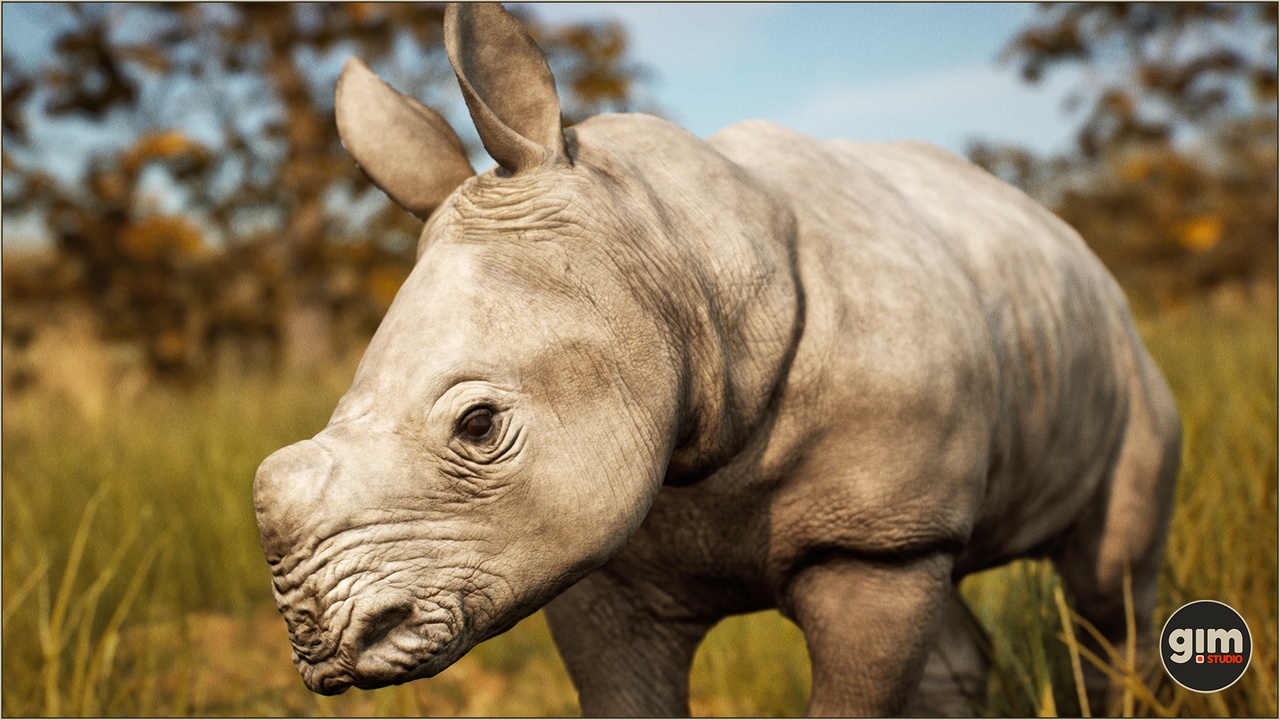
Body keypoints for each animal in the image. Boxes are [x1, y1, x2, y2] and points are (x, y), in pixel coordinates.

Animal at [252, 4, 1182, 716]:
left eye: (479, 427)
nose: (324, 645)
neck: (672, 251)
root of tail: (1061, 233)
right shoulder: (604, 556)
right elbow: (626, 696)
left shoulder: (874, 541)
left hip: (1119, 354)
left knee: (1110, 588)